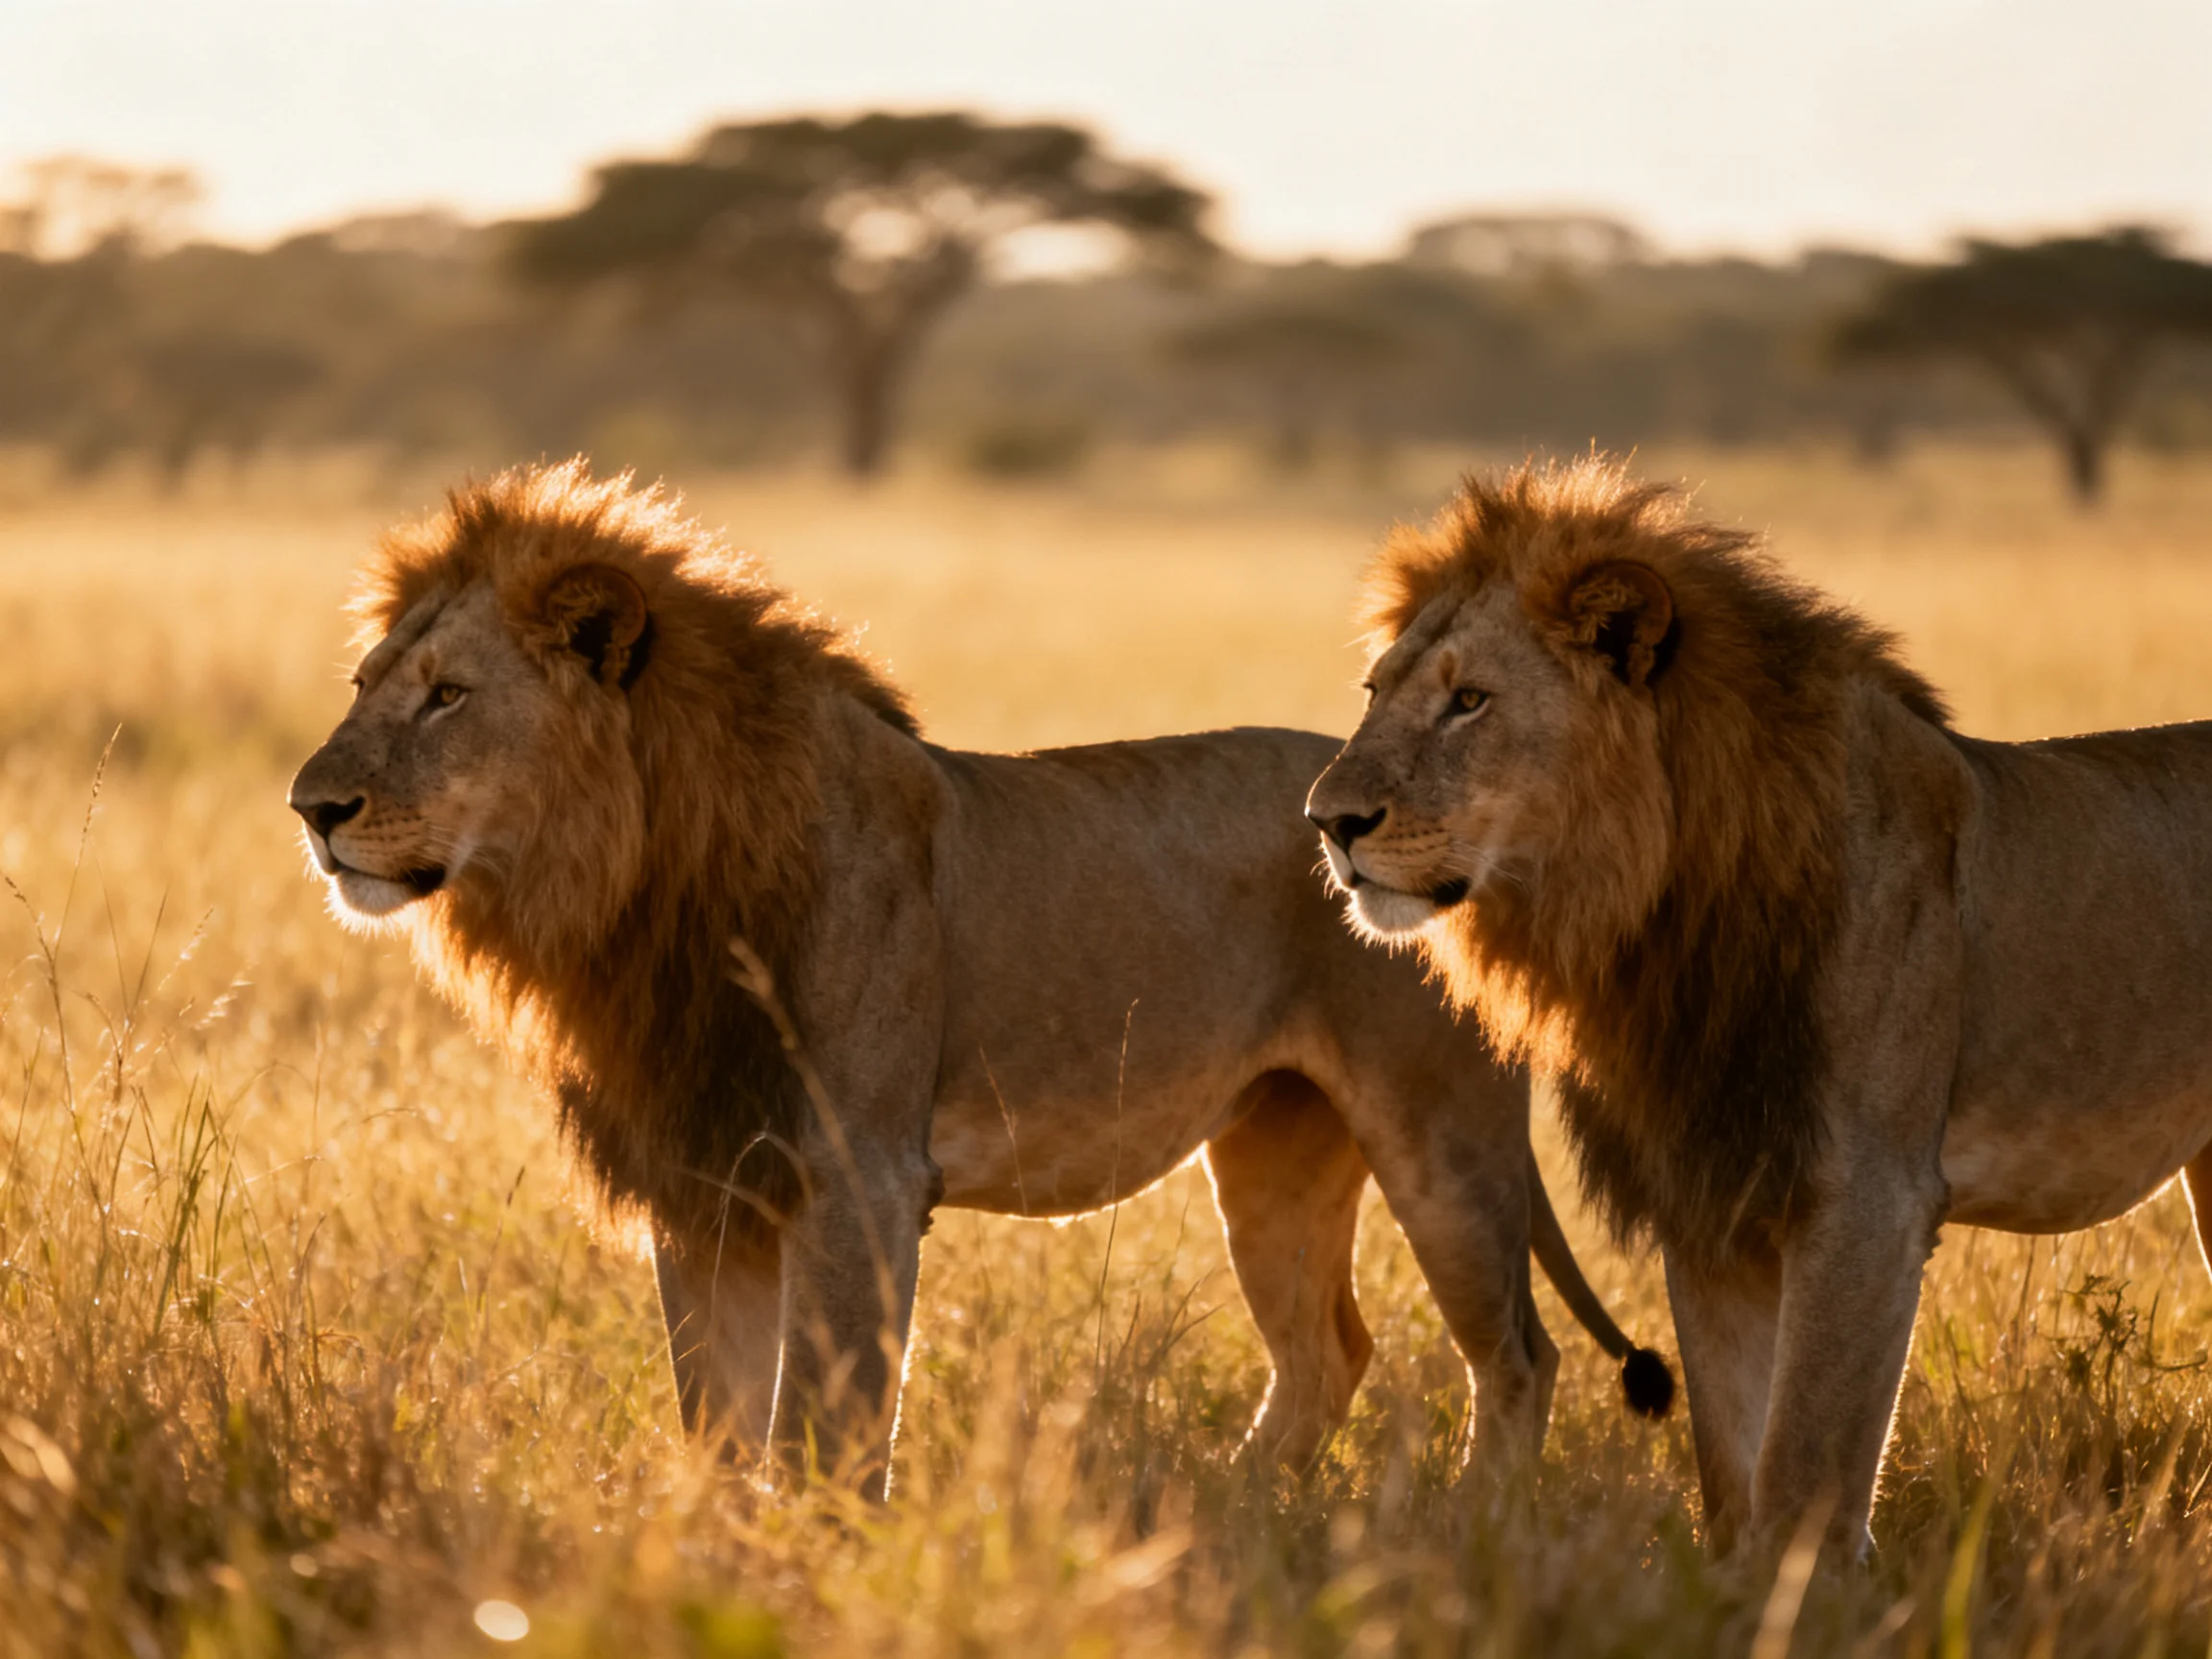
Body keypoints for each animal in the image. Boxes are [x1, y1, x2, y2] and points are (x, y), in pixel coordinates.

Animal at [286, 460, 1672, 1492]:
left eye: (448, 696)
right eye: (361, 684)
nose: (311, 807)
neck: (634, 894)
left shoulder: (860, 1179)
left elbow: (825, 1434)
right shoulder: (708, 1189)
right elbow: (720, 1429)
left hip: (1442, 1140)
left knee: (1519, 1359)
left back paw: (1473, 1528)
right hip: (1276, 1148)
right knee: (1327, 1356)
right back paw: (1231, 1509)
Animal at [1306, 456, 2212, 1559]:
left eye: (1469, 700)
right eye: (1374, 692)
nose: (1327, 821)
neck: (1658, 911)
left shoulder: (1870, 1195)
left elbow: (1805, 1464)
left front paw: (1806, 1587)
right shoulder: (1712, 1196)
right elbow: (1732, 1465)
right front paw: (1735, 1583)